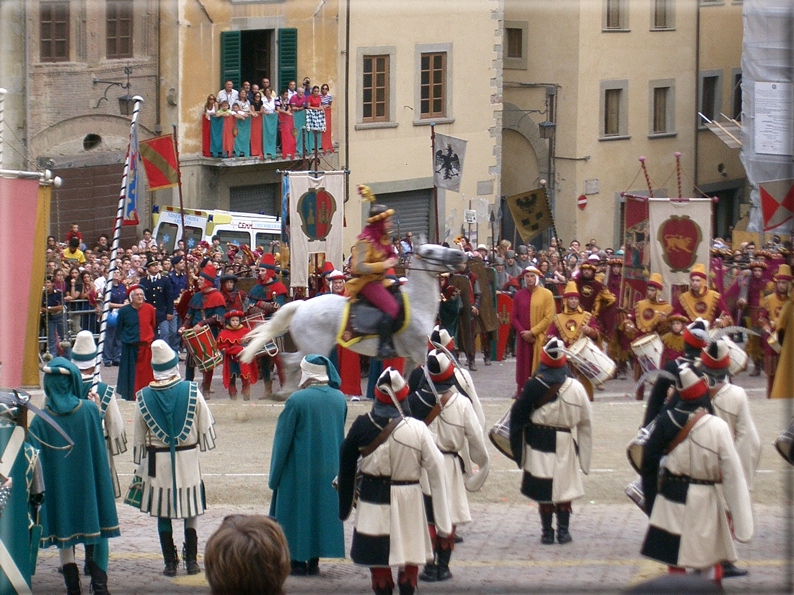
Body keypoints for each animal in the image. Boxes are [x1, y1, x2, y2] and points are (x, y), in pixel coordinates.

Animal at [238, 244, 468, 388]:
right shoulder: (419, 351)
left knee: (289, 361)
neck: (416, 303)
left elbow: (408, 379)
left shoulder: (412, 356)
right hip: (315, 347)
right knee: (295, 363)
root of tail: (301, 306)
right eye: (430, 250)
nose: (459, 256)